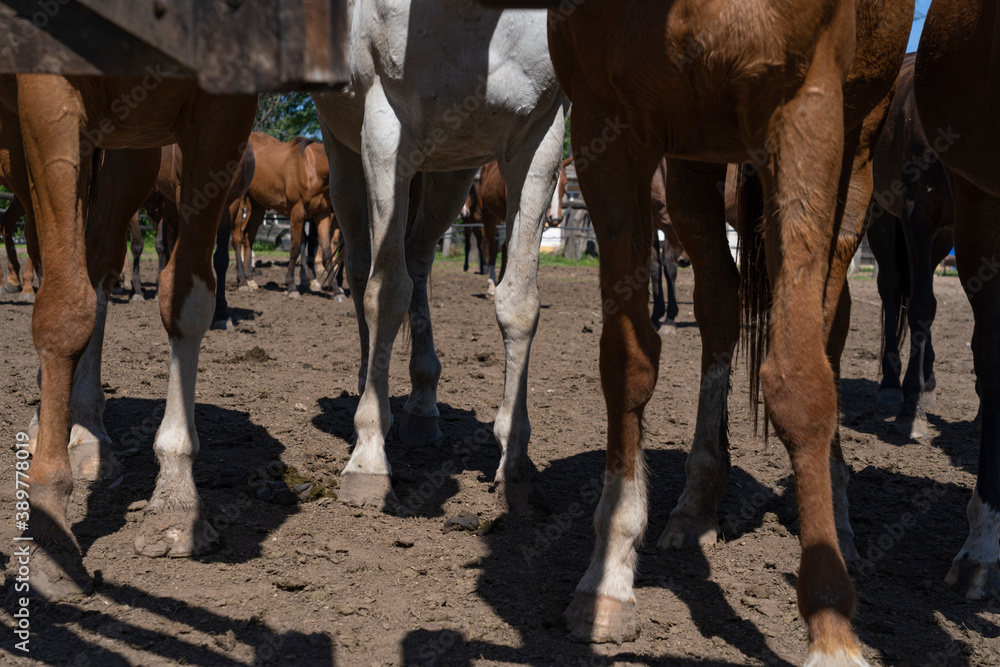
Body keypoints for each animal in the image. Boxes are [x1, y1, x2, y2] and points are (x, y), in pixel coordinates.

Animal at [4, 73, 256, 601]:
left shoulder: (220, 112)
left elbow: (186, 301)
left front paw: (177, 502)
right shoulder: (47, 99)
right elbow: (63, 309)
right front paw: (46, 532)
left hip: (129, 151)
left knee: (97, 260)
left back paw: (85, 429)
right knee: (49, 255)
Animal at [232, 132, 338, 298]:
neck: (313, 168)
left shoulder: (322, 214)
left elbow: (326, 250)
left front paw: (336, 290)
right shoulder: (298, 213)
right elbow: (295, 248)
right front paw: (292, 287)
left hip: (258, 206)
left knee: (248, 235)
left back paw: (250, 280)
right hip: (240, 201)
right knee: (237, 238)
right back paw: (242, 281)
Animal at [311, 0, 567, 513]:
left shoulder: (540, 139)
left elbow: (519, 304)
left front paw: (516, 467)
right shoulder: (384, 131)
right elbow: (386, 294)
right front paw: (369, 458)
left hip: (451, 174)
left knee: (417, 258)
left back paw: (421, 407)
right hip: (345, 155)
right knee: (362, 270)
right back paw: (370, 394)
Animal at [546, 1, 911, 664]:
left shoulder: (806, 107)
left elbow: (799, 380)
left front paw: (831, 631)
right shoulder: (603, 121)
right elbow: (627, 362)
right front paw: (607, 578)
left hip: (855, 153)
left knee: (827, 318)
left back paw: (840, 514)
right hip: (695, 159)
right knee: (720, 302)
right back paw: (695, 507)